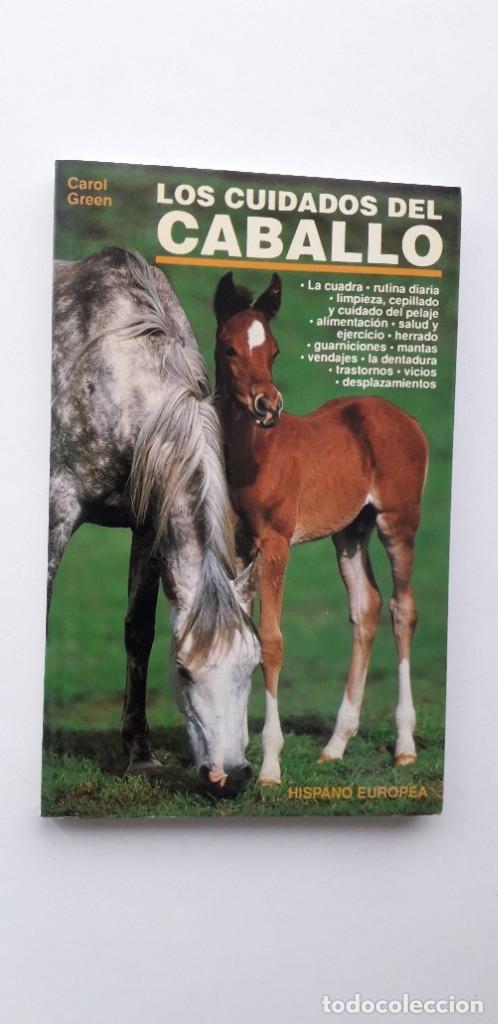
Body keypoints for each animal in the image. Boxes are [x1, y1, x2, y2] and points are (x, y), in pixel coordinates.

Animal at [48, 247, 260, 797]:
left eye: (253, 664)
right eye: (183, 670)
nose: (229, 776)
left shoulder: (148, 523)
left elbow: (138, 631)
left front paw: (139, 755)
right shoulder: (58, 509)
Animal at [214, 271, 429, 785]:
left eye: (273, 351)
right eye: (229, 348)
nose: (267, 405)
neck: (253, 453)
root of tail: (406, 419)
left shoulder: (275, 545)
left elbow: (271, 641)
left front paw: (269, 766)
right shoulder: (238, 546)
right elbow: (244, 634)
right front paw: (237, 753)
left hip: (398, 521)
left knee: (402, 609)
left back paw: (405, 746)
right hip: (350, 532)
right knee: (366, 607)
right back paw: (335, 744)